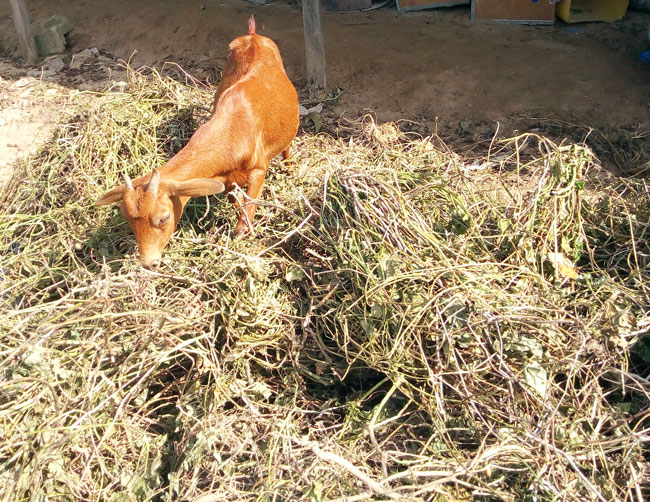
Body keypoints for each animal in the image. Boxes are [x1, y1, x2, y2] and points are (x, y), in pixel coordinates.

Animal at [95, 16, 299, 269]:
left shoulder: (259, 167)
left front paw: (243, 237)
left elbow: (247, 210)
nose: (149, 263)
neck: (231, 130)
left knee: (287, 146)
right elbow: (233, 198)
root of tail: (253, 35)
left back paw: (290, 169)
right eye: (128, 220)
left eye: (163, 218)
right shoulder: (224, 179)